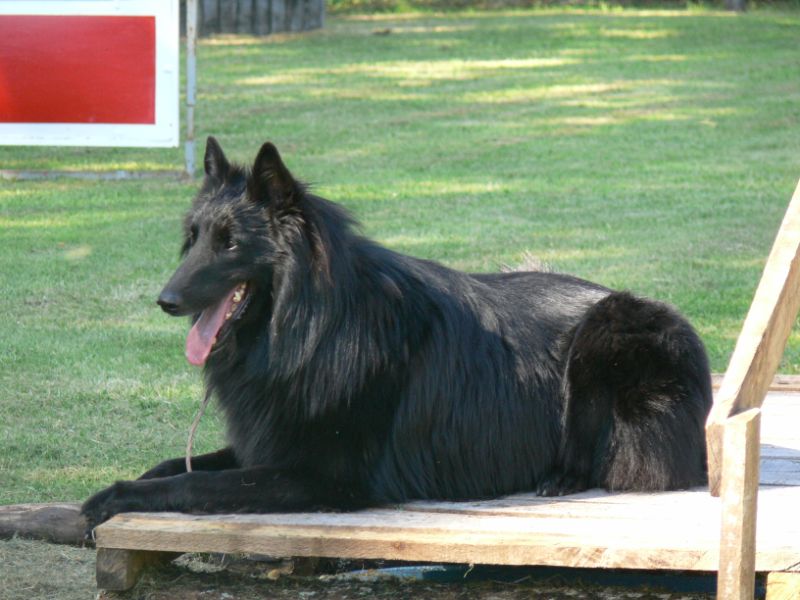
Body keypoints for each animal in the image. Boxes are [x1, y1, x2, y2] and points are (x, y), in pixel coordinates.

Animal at [81, 137, 713, 531]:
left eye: (230, 243)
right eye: (193, 238)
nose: (165, 300)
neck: (313, 330)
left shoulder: (321, 474)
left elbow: (194, 486)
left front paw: (119, 495)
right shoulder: (268, 438)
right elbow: (175, 467)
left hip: (610, 332)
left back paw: (559, 477)